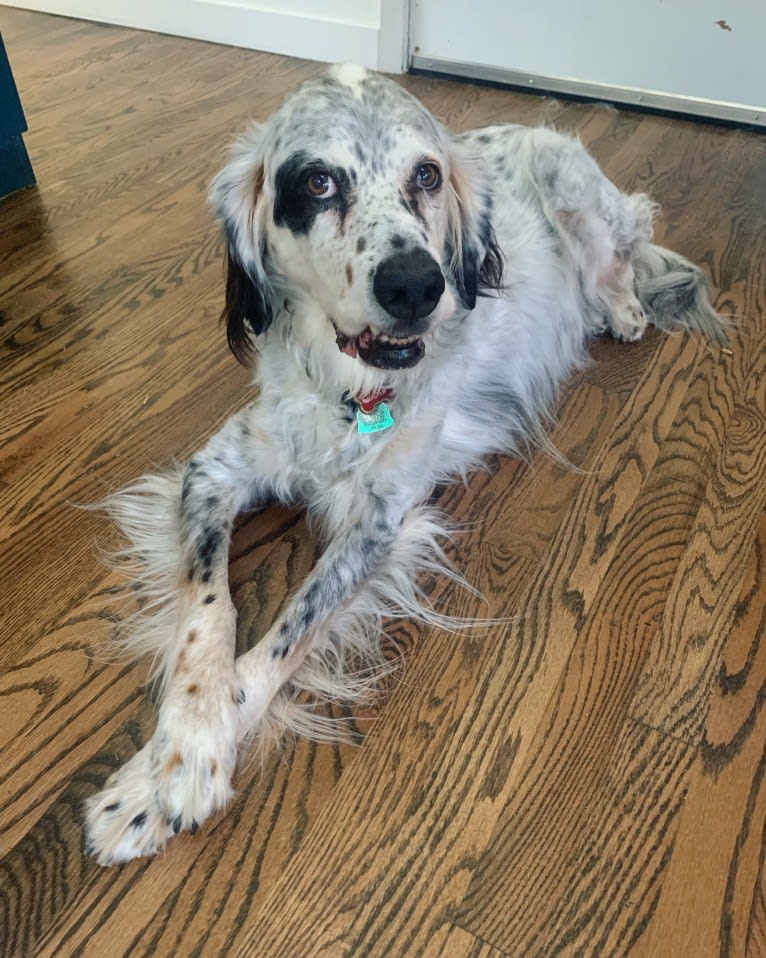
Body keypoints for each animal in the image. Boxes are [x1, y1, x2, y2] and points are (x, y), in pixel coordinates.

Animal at [85, 63, 728, 868]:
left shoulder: (379, 523)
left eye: (425, 175)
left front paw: (160, 778)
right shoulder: (215, 469)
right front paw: (182, 746)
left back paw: (623, 309)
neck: (349, 395)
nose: (417, 285)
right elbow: (210, 610)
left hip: (576, 193)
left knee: (618, 266)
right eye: (319, 182)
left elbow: (287, 630)